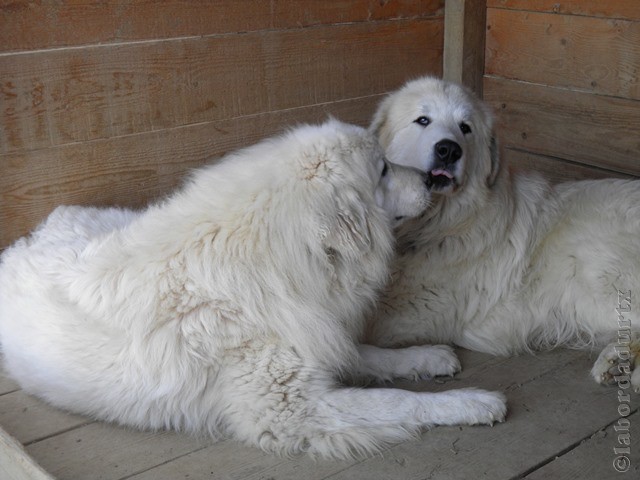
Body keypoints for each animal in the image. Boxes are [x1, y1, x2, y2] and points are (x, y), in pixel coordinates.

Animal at [1, 119, 510, 458]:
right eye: (383, 169)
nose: (430, 178)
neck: (281, 260)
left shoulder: (315, 335)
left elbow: (372, 356)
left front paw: (426, 356)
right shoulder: (292, 408)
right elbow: (398, 401)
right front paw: (472, 402)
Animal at [364, 78, 640, 394]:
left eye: (465, 127)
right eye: (423, 120)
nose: (449, 150)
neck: (439, 223)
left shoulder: (428, 308)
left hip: (595, 270)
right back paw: (615, 362)